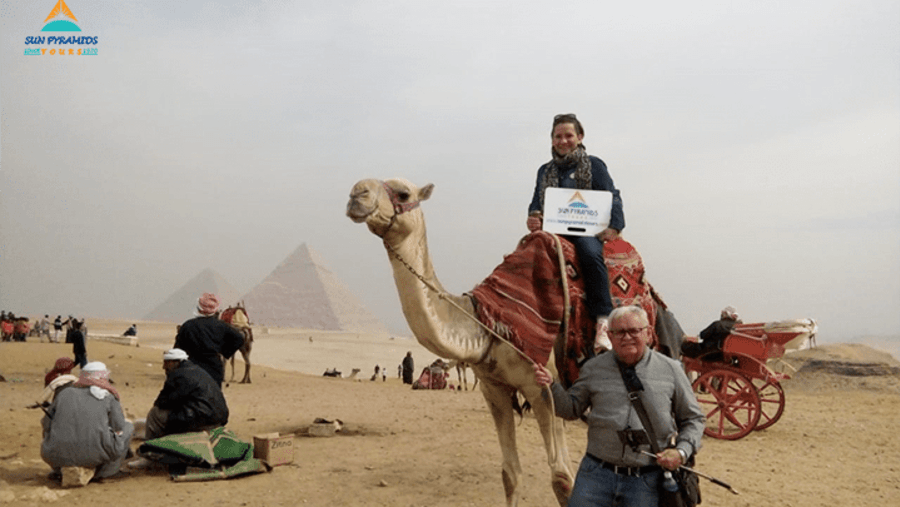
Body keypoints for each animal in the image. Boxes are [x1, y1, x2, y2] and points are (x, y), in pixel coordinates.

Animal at [348, 180, 572, 507]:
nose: (357, 194)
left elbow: (562, 479)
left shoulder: (543, 387)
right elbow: (510, 473)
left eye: (403, 194)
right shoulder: (494, 388)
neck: (486, 324)